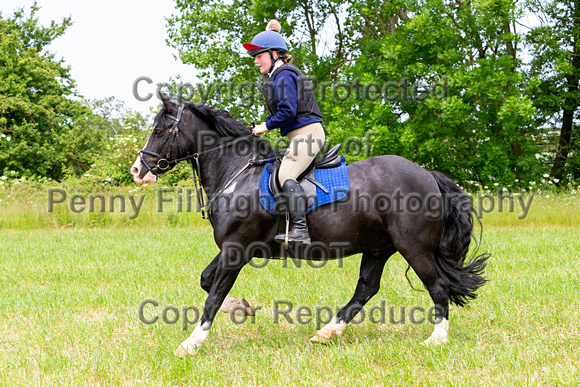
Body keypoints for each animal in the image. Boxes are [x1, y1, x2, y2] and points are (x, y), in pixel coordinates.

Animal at [131, 98, 490, 356]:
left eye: (161, 130)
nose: (138, 170)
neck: (237, 172)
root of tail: (428, 174)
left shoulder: (237, 248)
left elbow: (214, 296)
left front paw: (191, 343)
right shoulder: (235, 248)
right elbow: (207, 281)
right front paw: (243, 308)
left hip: (414, 247)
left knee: (437, 286)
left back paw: (436, 340)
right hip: (378, 248)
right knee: (366, 288)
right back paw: (326, 332)